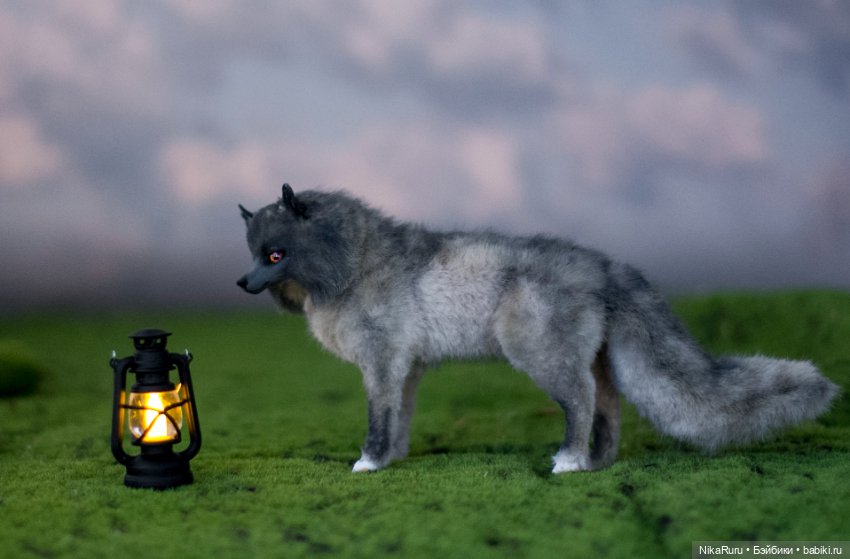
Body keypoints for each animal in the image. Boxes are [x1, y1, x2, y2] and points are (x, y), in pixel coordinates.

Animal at [237, 184, 839, 473]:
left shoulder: (382, 365)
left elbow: (378, 420)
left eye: (276, 254)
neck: (356, 264)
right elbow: (401, 419)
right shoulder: (406, 369)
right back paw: (598, 463)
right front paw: (394, 459)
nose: (242, 283)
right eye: (253, 254)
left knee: (582, 401)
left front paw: (369, 461)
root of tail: (605, 265)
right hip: (592, 362)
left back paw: (570, 461)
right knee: (607, 406)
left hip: (541, 358)